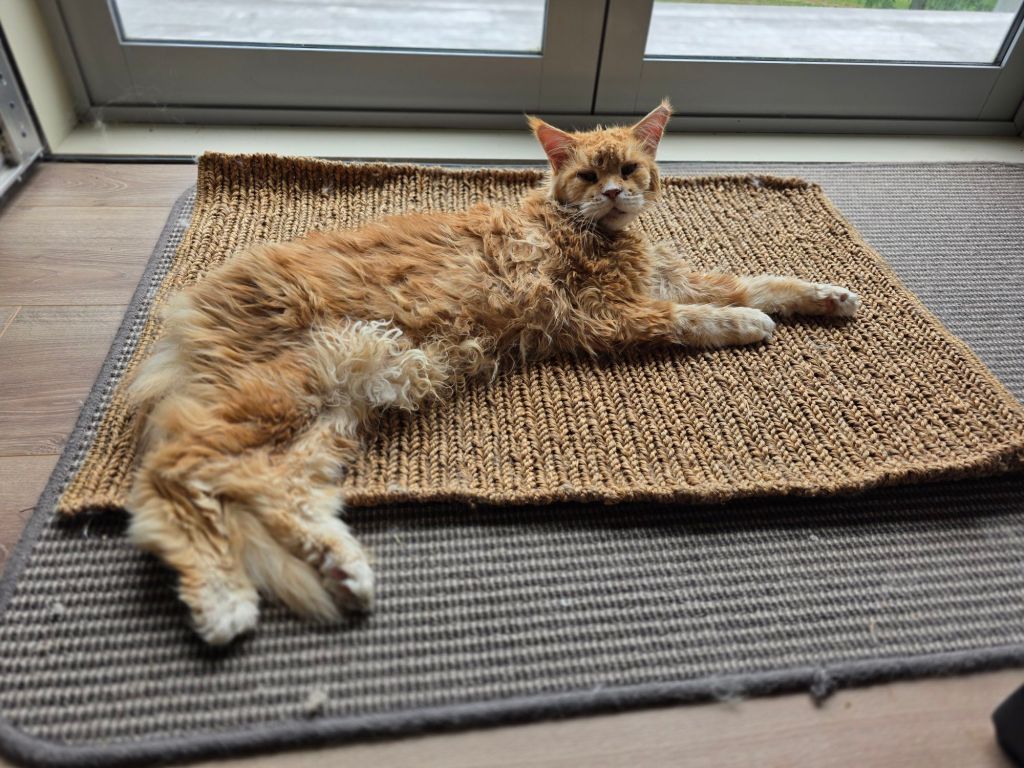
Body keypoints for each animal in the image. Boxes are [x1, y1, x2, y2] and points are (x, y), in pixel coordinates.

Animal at [127, 100, 860, 645]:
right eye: (588, 177)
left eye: (628, 168)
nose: (615, 193)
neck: (599, 233)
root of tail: (187, 308)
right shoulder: (608, 315)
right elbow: (700, 315)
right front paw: (747, 326)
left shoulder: (668, 279)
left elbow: (758, 280)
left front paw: (828, 296)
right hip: (286, 388)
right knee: (171, 478)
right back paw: (222, 600)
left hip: (335, 411)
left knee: (266, 488)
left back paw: (343, 567)